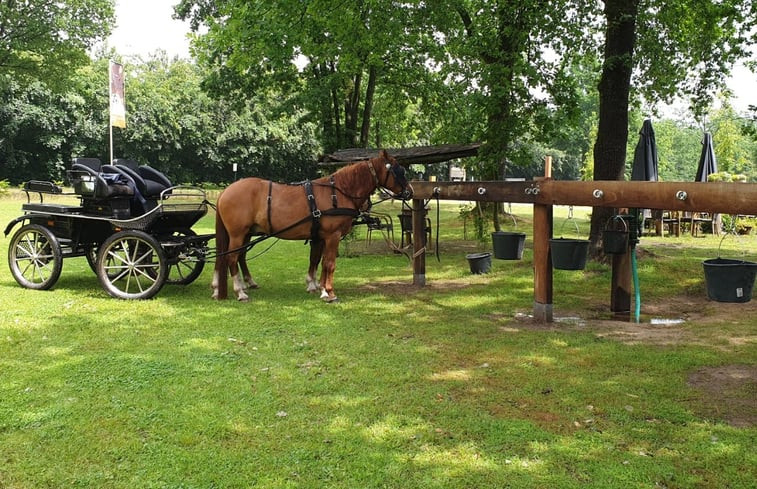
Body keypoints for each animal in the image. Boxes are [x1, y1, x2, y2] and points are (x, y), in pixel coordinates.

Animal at [211, 149, 414, 302]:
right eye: (399, 171)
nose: (410, 192)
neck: (338, 192)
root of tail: (226, 191)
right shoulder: (332, 236)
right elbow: (329, 263)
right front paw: (329, 292)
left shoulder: (319, 237)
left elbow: (317, 261)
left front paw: (317, 286)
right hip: (238, 234)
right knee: (231, 258)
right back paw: (240, 291)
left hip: (244, 234)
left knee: (235, 257)